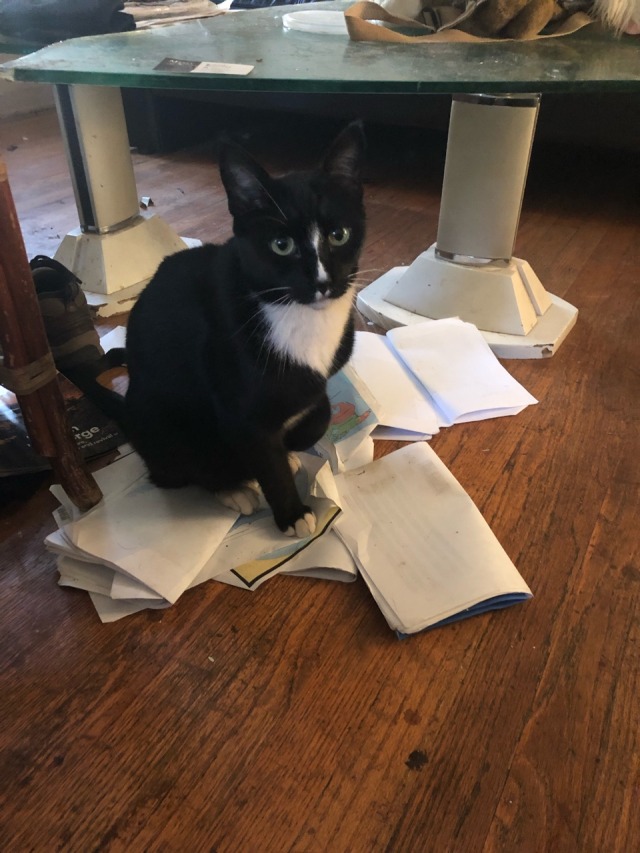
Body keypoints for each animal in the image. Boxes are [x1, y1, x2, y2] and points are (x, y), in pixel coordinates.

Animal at [89, 121, 366, 537]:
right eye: (281, 244)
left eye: (339, 235)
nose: (323, 282)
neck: (296, 313)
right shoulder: (237, 404)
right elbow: (263, 453)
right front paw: (291, 513)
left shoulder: (313, 384)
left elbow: (317, 413)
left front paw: (290, 448)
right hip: (164, 423)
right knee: (177, 470)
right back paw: (232, 488)